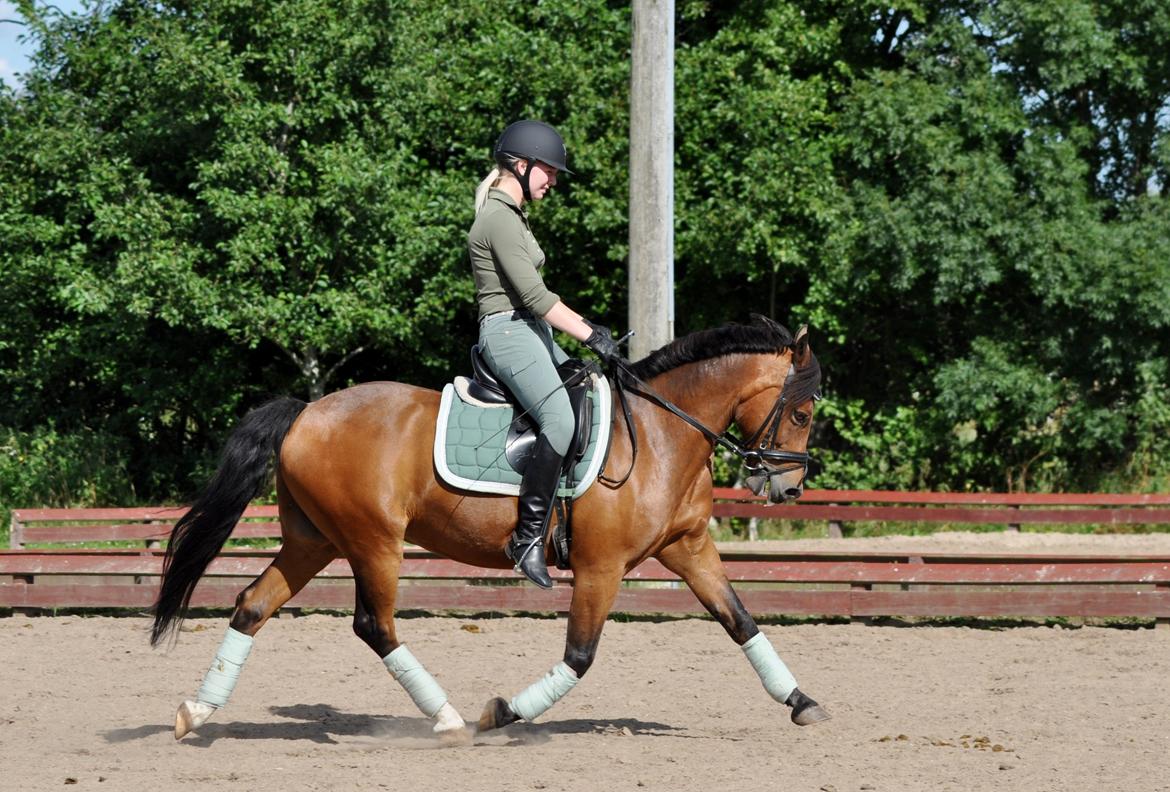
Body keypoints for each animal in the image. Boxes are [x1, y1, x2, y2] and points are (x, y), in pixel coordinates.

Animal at [151, 315, 829, 740]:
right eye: (800, 413)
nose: (789, 488)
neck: (663, 434)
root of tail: (307, 411)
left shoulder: (689, 548)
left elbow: (740, 621)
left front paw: (803, 703)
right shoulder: (601, 567)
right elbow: (579, 657)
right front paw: (501, 713)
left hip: (312, 542)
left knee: (251, 605)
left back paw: (195, 713)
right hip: (374, 543)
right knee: (374, 625)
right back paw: (449, 719)